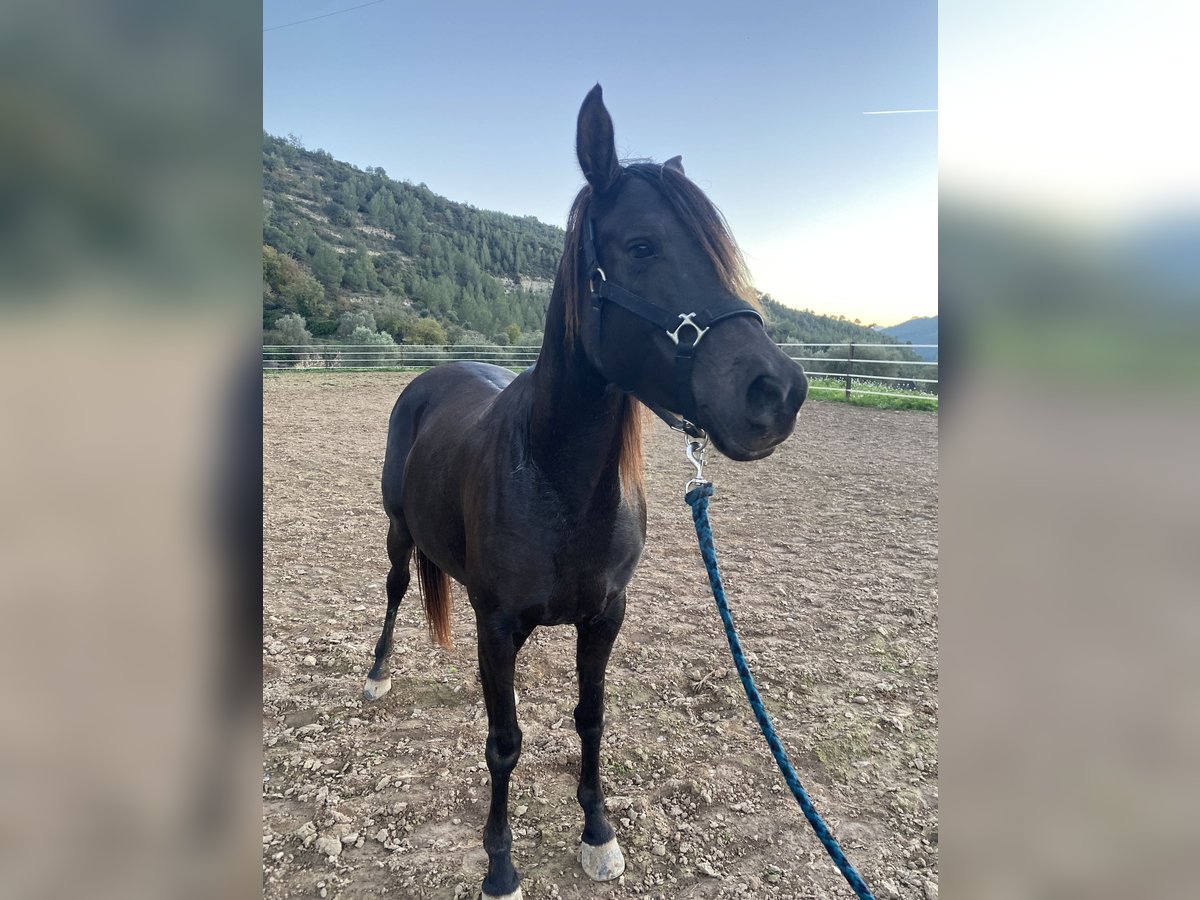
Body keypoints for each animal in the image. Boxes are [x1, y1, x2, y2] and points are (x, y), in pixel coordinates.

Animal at [355, 86, 806, 900]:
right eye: (641, 246)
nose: (777, 391)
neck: (559, 484)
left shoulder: (605, 618)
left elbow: (590, 720)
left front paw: (597, 834)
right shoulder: (498, 625)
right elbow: (503, 742)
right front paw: (501, 865)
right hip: (398, 530)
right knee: (398, 587)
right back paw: (376, 676)